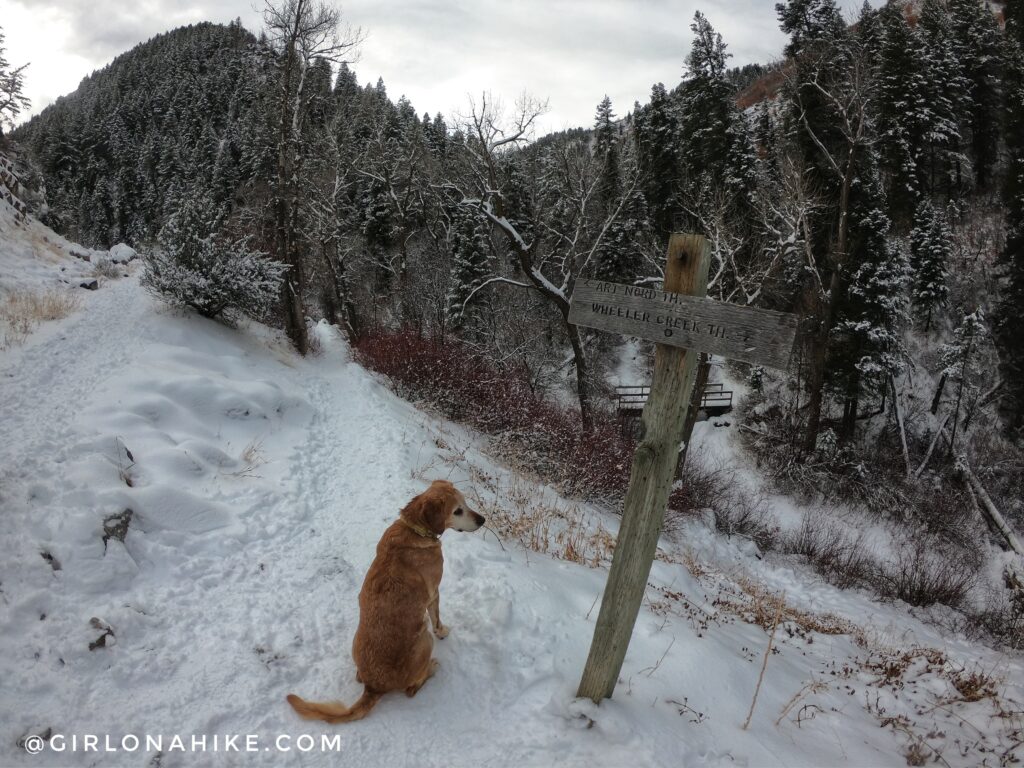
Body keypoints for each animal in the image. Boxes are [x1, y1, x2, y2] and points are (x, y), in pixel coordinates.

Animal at [284, 479, 483, 724]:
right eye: (457, 510)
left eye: (465, 503)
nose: (482, 520)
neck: (413, 529)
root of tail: (374, 687)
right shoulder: (434, 593)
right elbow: (437, 619)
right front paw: (443, 631)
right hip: (424, 639)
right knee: (410, 690)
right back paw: (431, 668)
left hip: (356, 643)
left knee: (360, 676)